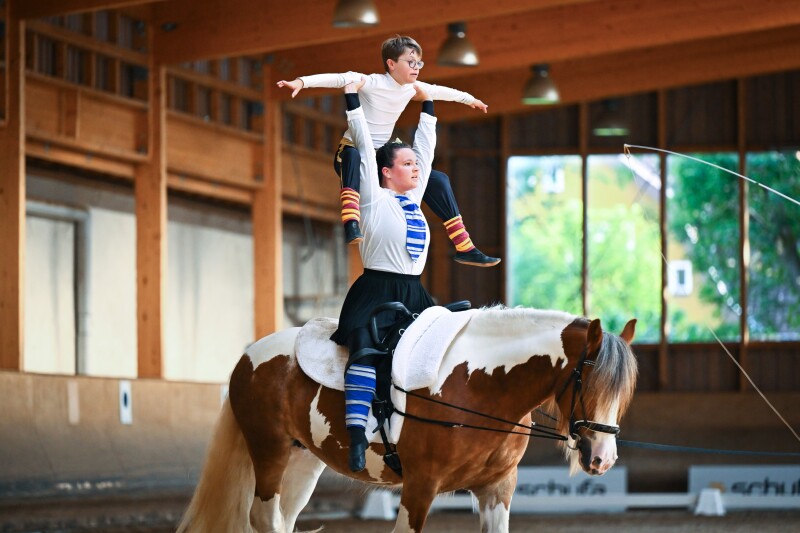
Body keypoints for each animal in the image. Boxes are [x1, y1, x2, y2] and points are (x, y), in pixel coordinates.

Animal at [177, 306, 636, 528]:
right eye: (590, 383)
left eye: (623, 391)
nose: (603, 458)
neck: (479, 384)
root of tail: (248, 356)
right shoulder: (420, 486)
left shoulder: (496, 489)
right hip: (269, 451)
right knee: (263, 517)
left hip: (302, 462)